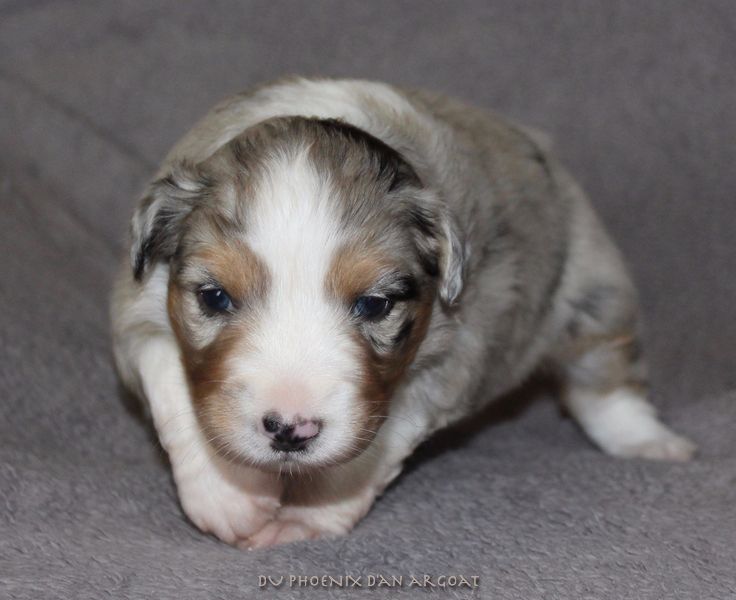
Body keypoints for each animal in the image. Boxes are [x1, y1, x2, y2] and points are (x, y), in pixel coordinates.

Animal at [111, 77, 695, 548]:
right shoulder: (136, 312)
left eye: (374, 304)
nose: (290, 431)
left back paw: (650, 442)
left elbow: (367, 454)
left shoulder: (447, 361)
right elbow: (172, 389)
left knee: (605, 380)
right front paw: (228, 495)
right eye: (214, 298)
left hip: (591, 287)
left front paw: (305, 519)